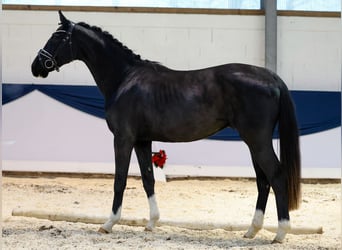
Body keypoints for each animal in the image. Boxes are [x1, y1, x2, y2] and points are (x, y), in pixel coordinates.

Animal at [31, 11, 300, 242]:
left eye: (57, 37)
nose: (36, 66)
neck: (124, 78)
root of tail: (271, 77)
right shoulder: (142, 141)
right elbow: (148, 179)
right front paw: (151, 223)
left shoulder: (123, 139)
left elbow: (120, 180)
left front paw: (108, 224)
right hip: (254, 142)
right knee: (263, 180)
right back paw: (252, 230)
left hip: (257, 140)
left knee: (276, 176)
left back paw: (280, 233)